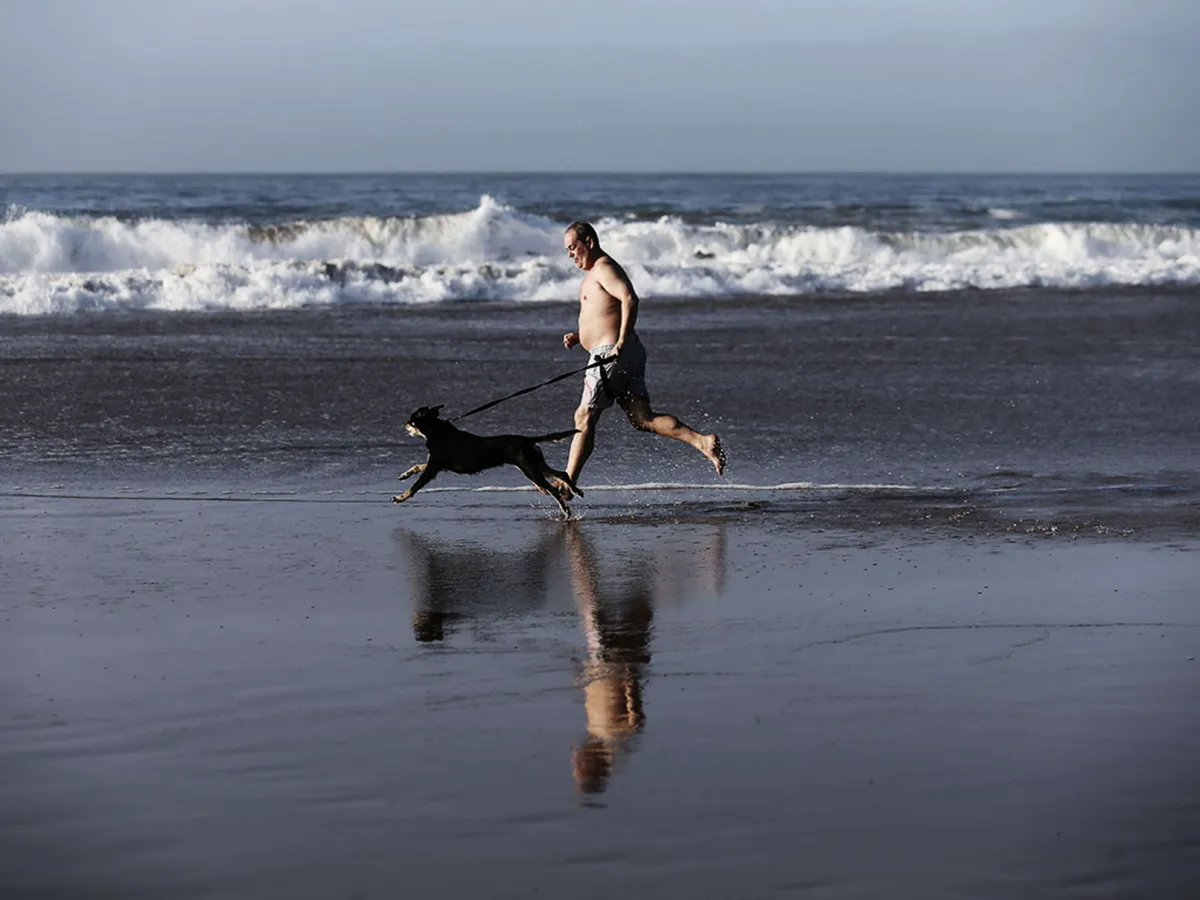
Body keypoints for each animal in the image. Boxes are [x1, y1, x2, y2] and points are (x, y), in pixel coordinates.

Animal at [391, 408, 583, 518]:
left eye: (412, 420)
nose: (404, 424)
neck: (437, 431)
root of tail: (527, 439)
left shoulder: (433, 468)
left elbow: (415, 486)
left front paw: (400, 497)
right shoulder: (438, 465)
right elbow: (417, 466)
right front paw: (404, 474)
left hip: (530, 469)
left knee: (553, 490)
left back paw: (566, 511)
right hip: (536, 464)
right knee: (561, 474)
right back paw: (576, 490)